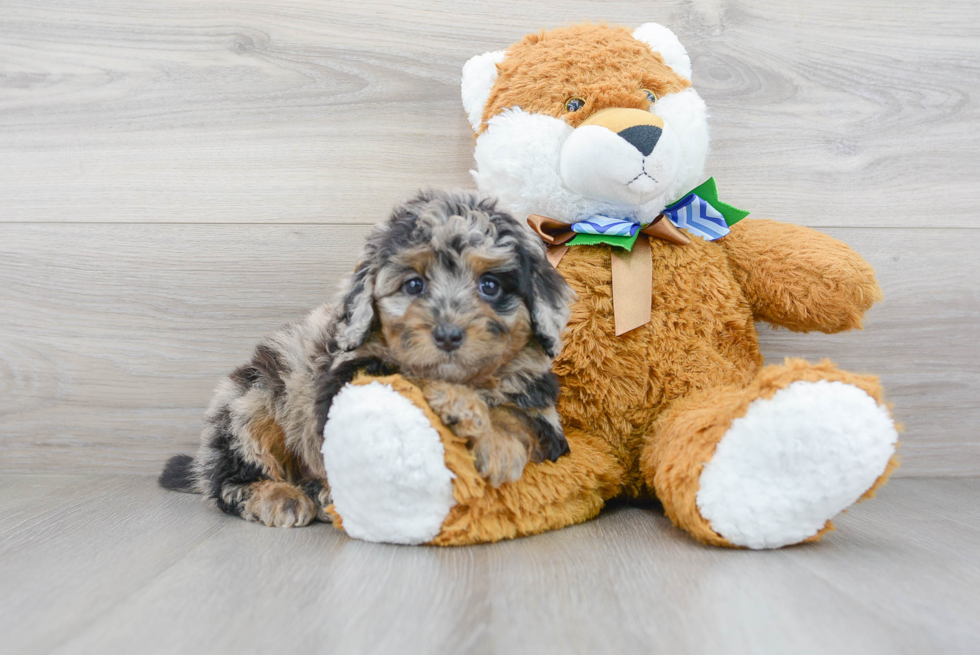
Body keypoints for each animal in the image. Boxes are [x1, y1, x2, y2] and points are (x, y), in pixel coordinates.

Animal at [159, 190, 576, 528]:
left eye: (490, 286)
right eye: (414, 285)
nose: (447, 335)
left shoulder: (548, 421)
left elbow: (518, 418)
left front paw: (498, 443)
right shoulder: (343, 380)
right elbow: (408, 376)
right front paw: (459, 405)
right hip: (252, 401)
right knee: (228, 482)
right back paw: (281, 496)